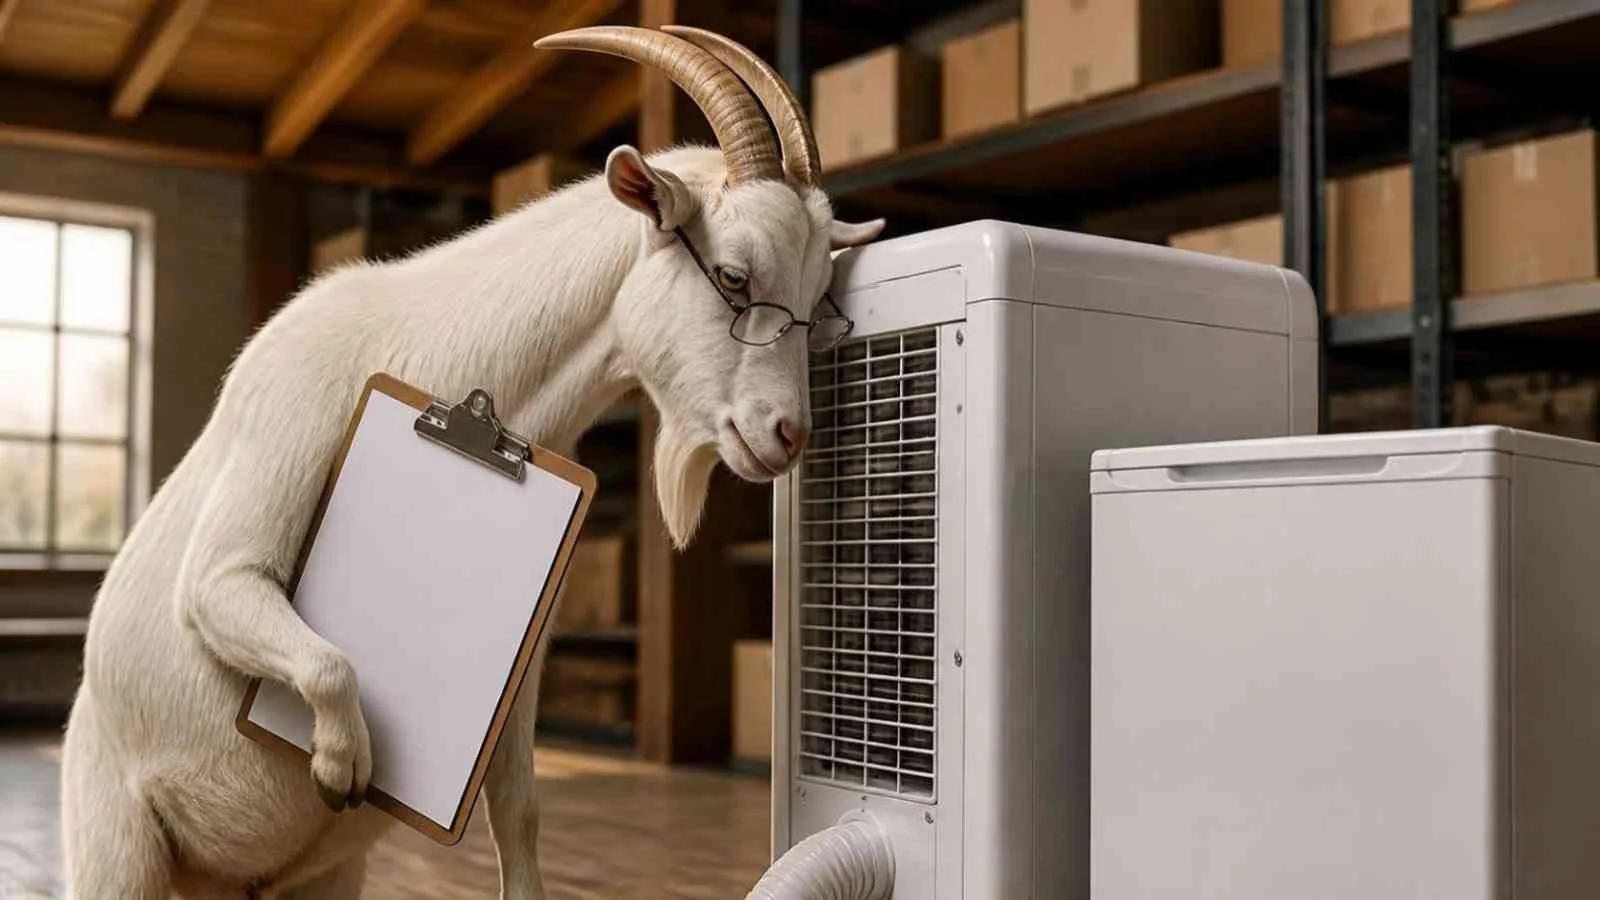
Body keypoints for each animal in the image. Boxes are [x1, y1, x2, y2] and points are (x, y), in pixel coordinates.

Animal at [59, 26, 884, 900]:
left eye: (818, 300)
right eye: (732, 275)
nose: (786, 435)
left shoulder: (515, 677)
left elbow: (519, 808)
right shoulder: (238, 538)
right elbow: (294, 634)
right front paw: (342, 765)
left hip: (323, 876)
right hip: (118, 848)